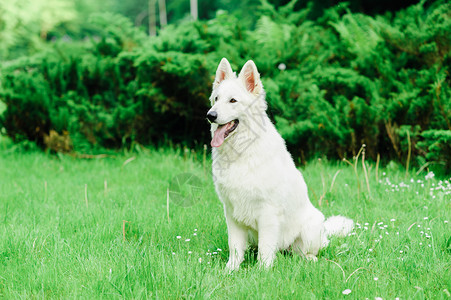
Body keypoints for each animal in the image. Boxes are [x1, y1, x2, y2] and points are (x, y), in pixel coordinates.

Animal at [207, 57, 354, 270]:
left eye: (233, 100)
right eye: (216, 99)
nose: (210, 115)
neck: (242, 152)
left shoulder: (268, 213)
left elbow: (265, 249)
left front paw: (262, 271)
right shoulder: (232, 212)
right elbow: (235, 247)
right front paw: (230, 270)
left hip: (310, 228)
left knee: (303, 252)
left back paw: (309, 259)